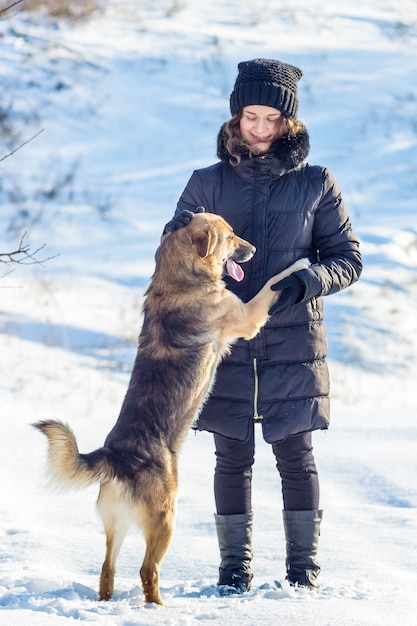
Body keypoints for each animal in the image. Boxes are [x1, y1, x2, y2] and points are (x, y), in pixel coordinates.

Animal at [33, 211, 308, 604]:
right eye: (230, 236)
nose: (253, 250)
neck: (178, 278)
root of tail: (115, 457)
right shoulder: (247, 315)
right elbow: (272, 285)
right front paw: (299, 266)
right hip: (165, 519)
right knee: (147, 570)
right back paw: (159, 607)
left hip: (117, 524)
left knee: (107, 570)